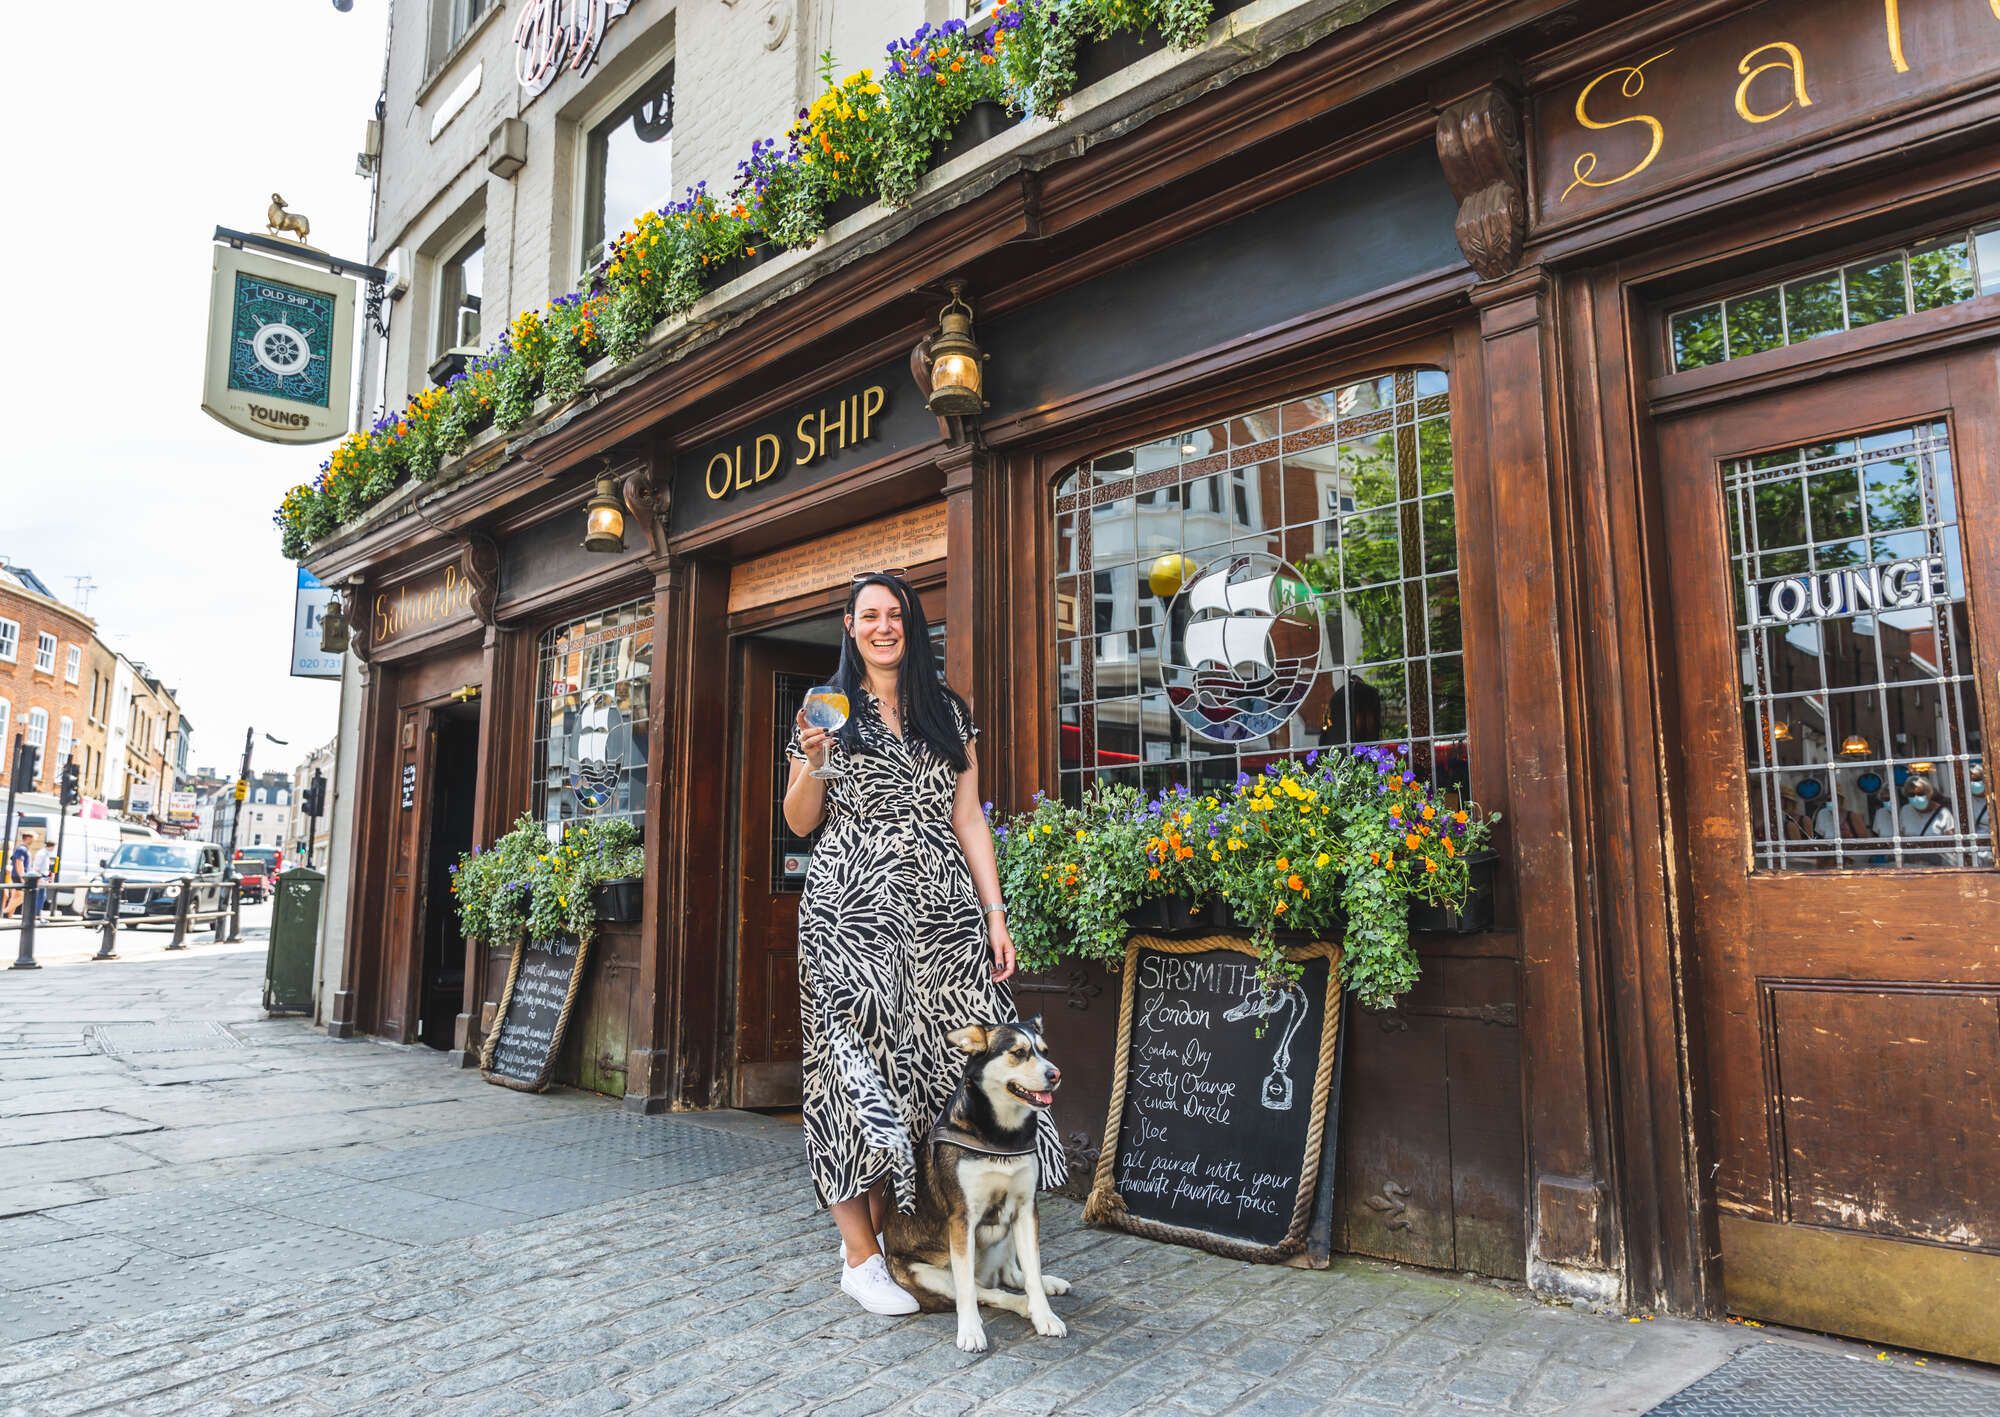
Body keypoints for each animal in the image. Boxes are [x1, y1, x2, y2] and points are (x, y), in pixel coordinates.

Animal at [888, 1016, 1080, 1352]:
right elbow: (967, 1288)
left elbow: (1032, 1271)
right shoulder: (962, 1219)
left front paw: (1045, 1315)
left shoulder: (1026, 1209)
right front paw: (970, 1331)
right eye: (1019, 1053)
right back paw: (1019, 1306)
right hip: (924, 1273)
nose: (1055, 1074)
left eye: (1044, 1051)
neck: (1001, 1136)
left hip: (1008, 1230)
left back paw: (1046, 1286)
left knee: (1011, 1275)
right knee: (986, 1291)